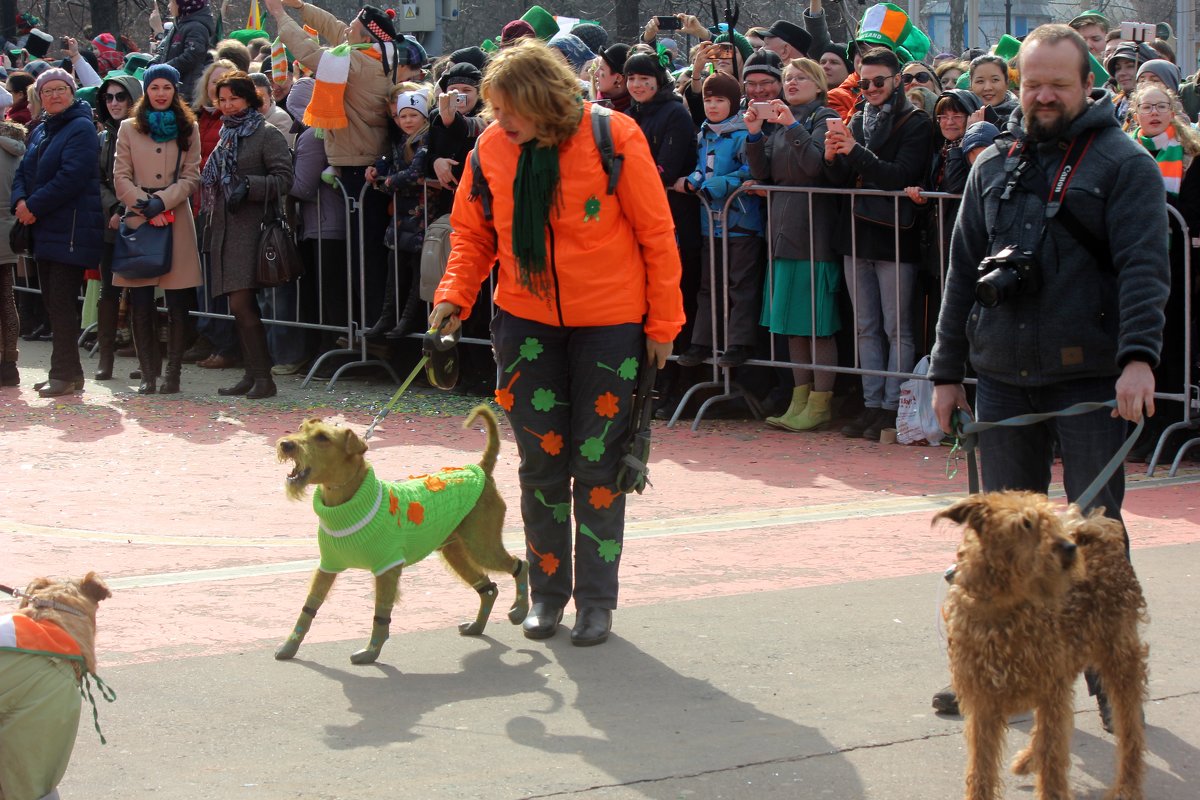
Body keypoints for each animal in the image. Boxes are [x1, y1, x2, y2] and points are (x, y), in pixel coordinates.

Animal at [278, 407, 532, 662]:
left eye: (323, 437)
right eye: (301, 428)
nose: (286, 444)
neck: (349, 502)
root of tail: (480, 470)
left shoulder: (387, 569)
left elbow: (381, 614)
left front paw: (371, 652)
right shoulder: (328, 567)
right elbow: (308, 609)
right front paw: (289, 647)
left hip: (482, 546)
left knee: (521, 565)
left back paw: (520, 611)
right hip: (455, 552)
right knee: (488, 588)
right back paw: (477, 626)